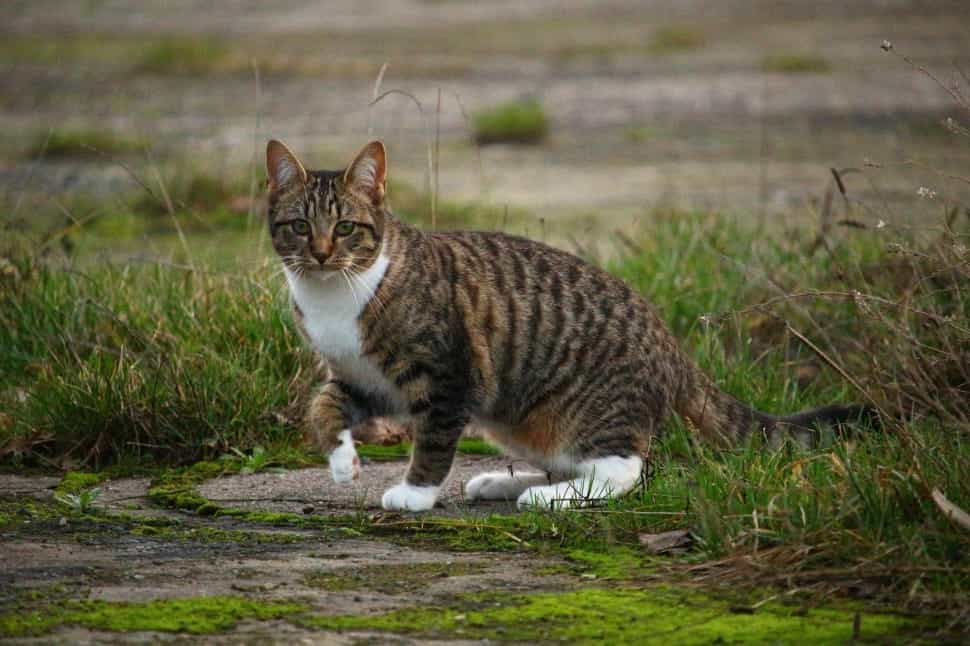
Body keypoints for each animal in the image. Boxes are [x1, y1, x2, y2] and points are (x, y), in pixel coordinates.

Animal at [262, 140, 868, 512]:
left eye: (345, 227)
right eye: (299, 226)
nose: (320, 253)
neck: (334, 294)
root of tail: (669, 340)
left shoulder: (449, 374)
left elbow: (433, 440)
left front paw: (416, 492)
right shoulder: (365, 378)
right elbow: (323, 405)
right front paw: (342, 460)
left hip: (585, 405)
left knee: (627, 469)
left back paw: (547, 497)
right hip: (521, 416)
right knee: (571, 460)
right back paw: (509, 483)